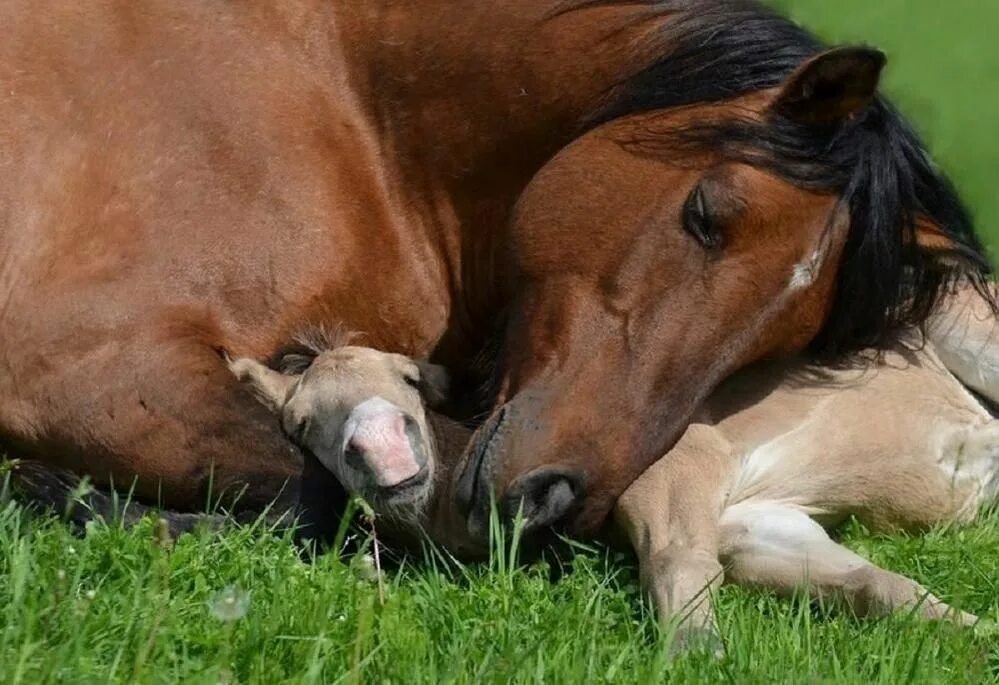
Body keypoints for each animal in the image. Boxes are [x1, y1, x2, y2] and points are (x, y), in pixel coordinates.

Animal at [1, 1, 992, 544]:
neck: (342, 98)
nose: (554, 498)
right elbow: (318, 487)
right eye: (707, 214)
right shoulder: (96, 372)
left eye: (784, 341)